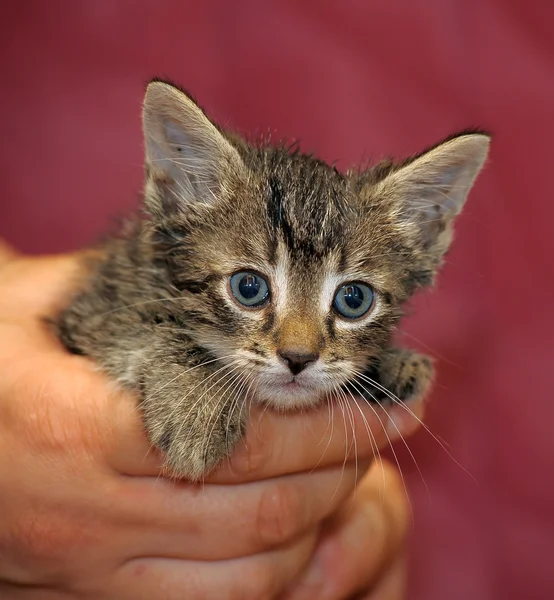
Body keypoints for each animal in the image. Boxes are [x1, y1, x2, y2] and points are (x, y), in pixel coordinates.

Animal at [55, 82, 488, 480]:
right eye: (249, 288)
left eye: (353, 299)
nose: (298, 358)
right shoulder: (94, 311)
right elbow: (135, 325)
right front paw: (197, 404)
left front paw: (396, 363)